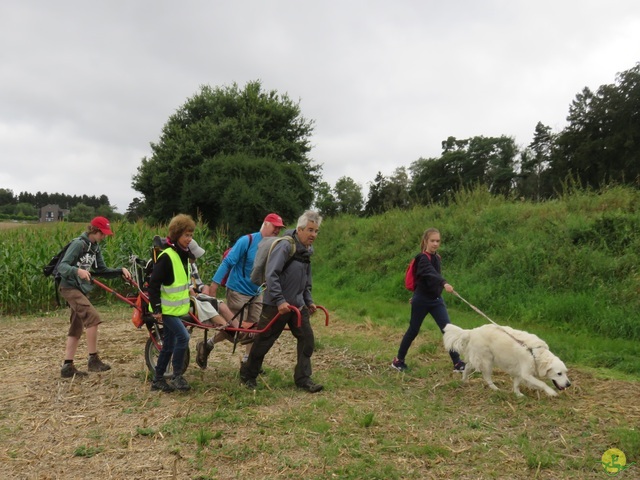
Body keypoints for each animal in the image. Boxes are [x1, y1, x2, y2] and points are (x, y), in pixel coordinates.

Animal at [442, 324, 572, 400]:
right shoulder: (526, 373)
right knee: (486, 377)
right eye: (559, 373)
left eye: (566, 372)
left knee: (467, 367)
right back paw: (495, 389)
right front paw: (551, 392)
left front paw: (518, 394)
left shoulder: (519, 371)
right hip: (487, 361)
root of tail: (472, 331)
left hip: (477, 359)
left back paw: (464, 381)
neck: (535, 353)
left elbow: (517, 384)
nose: (569, 384)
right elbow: (542, 383)